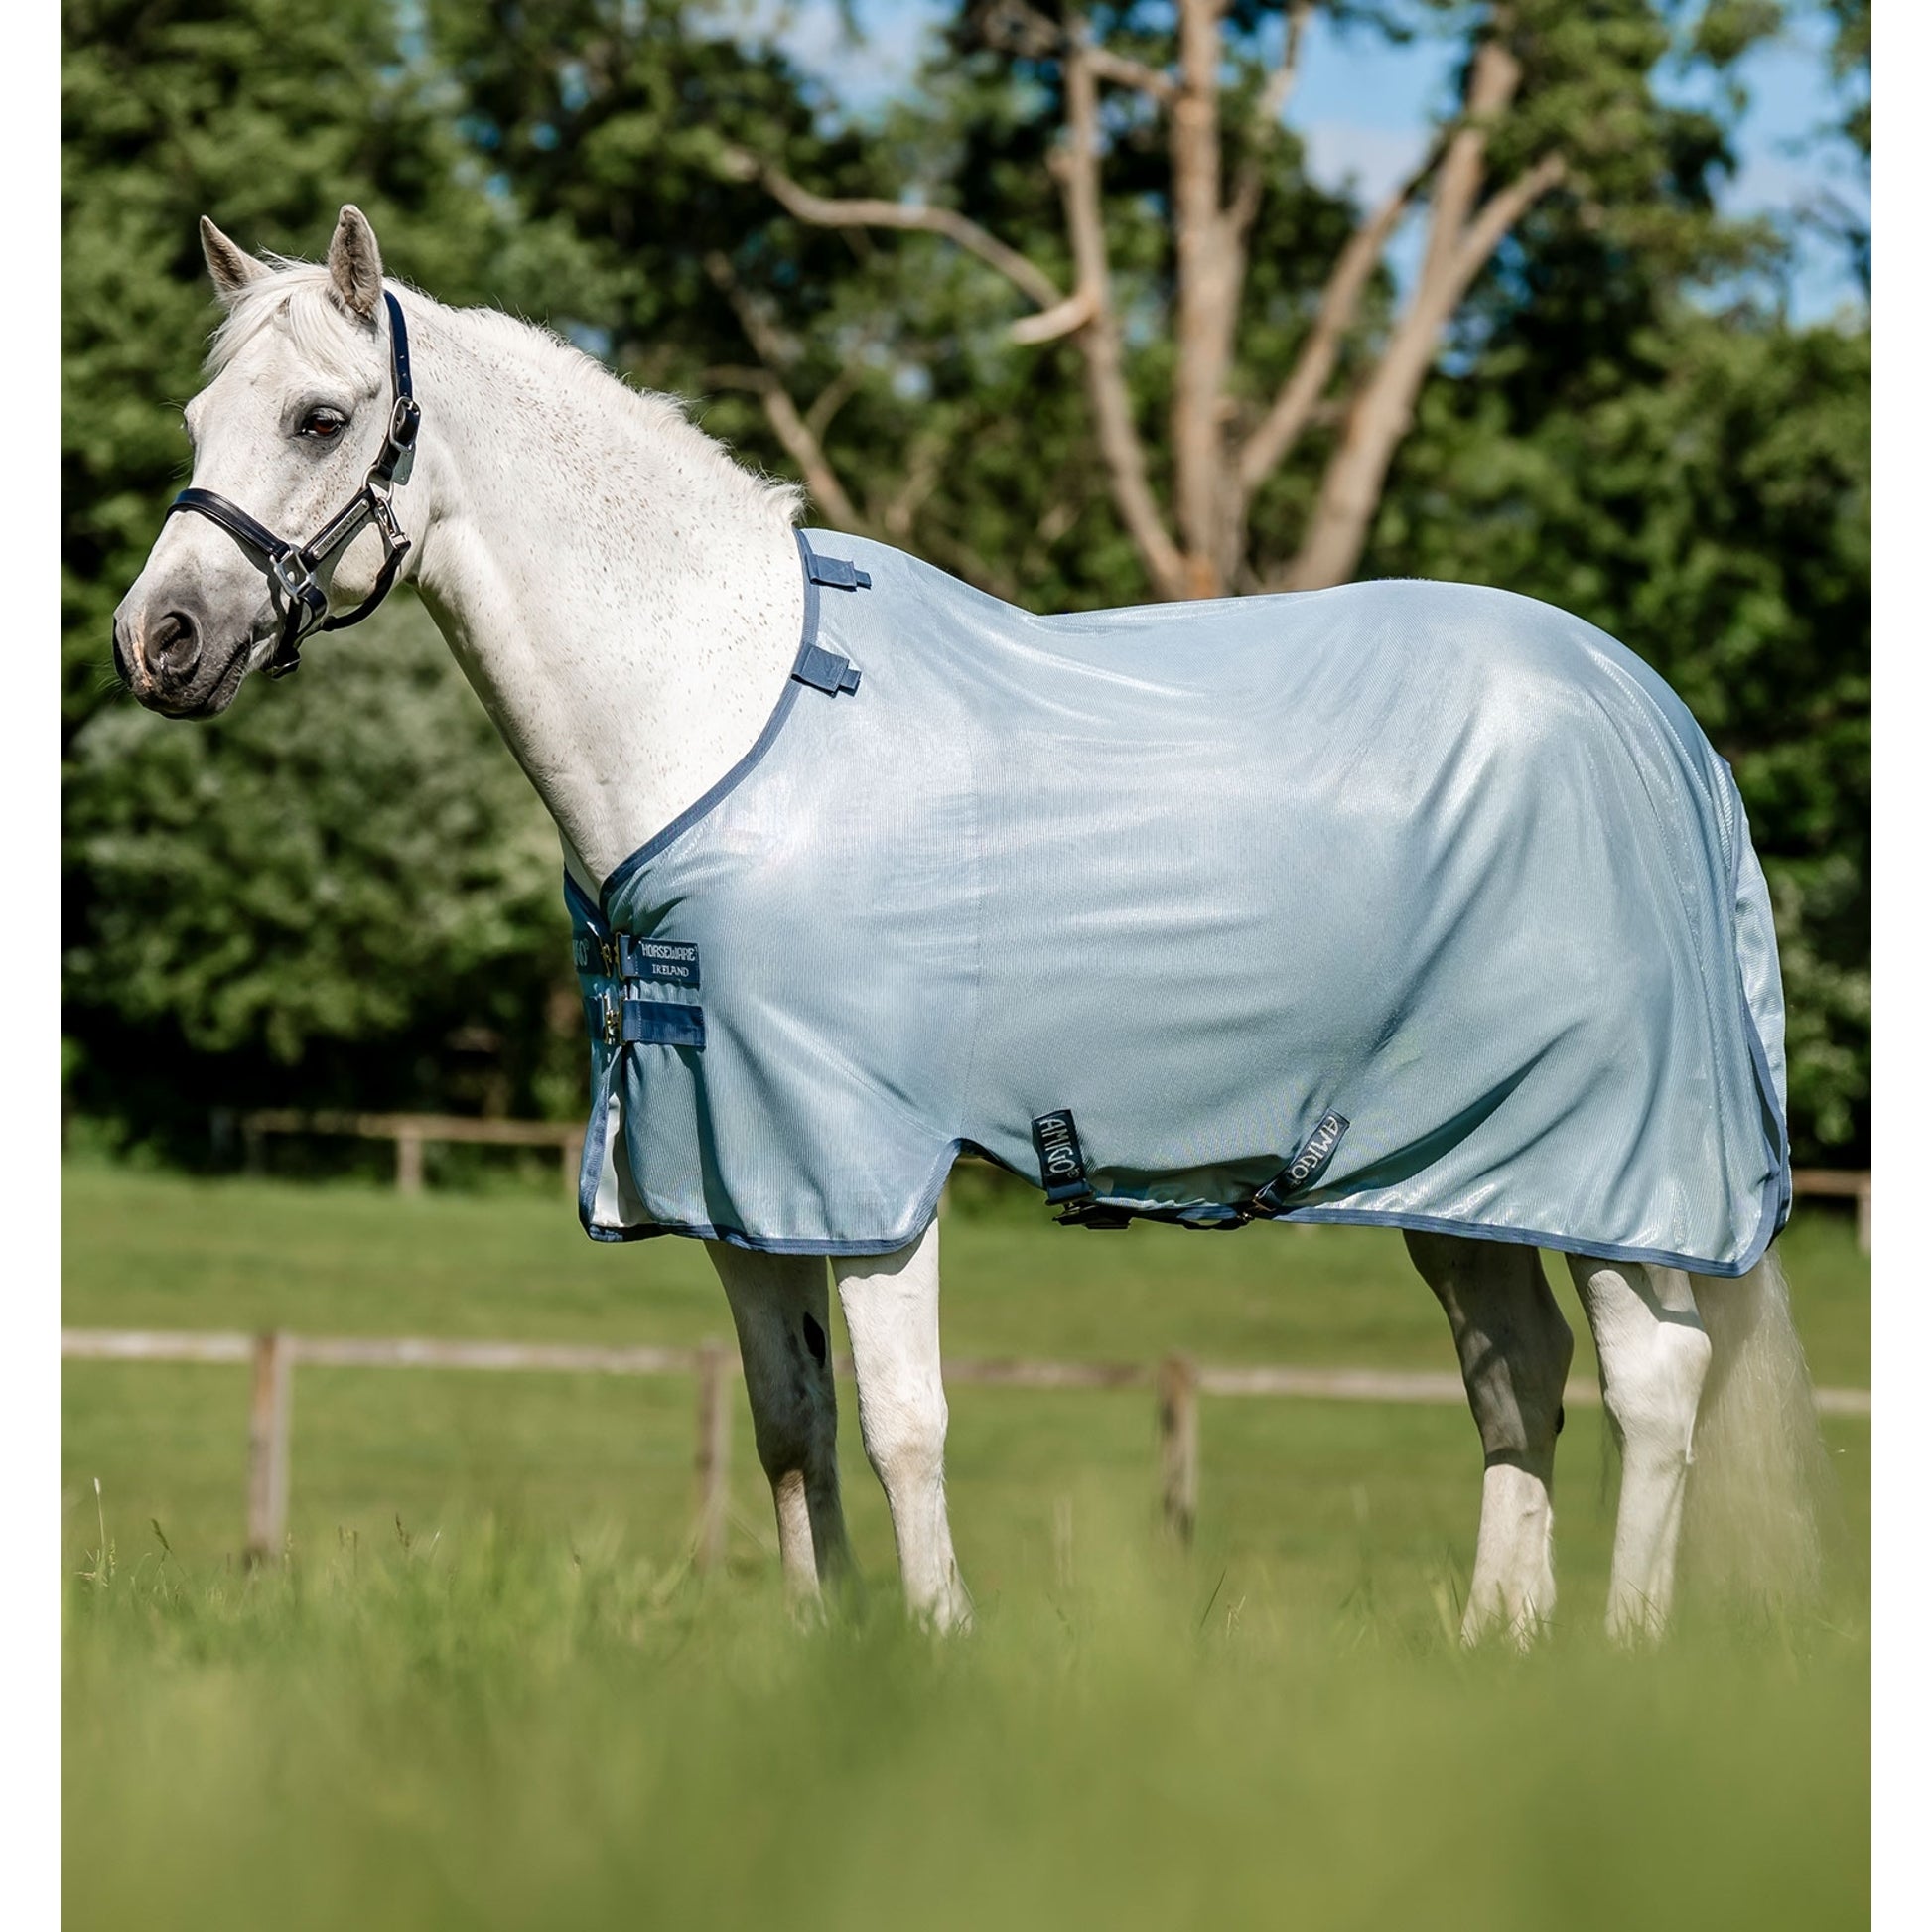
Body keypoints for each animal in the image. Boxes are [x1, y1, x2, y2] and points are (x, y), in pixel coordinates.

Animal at [111, 206, 1828, 1644]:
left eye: (319, 418)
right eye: (199, 420)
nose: (159, 639)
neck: (727, 716)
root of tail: (1654, 720)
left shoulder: (864, 1165)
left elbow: (901, 1423)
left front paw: (936, 1660)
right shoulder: (740, 1177)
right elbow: (789, 1424)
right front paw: (823, 1657)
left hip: (1602, 1165)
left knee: (1653, 1380)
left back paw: (1616, 1656)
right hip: (1453, 1168)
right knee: (1514, 1378)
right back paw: (1496, 1651)